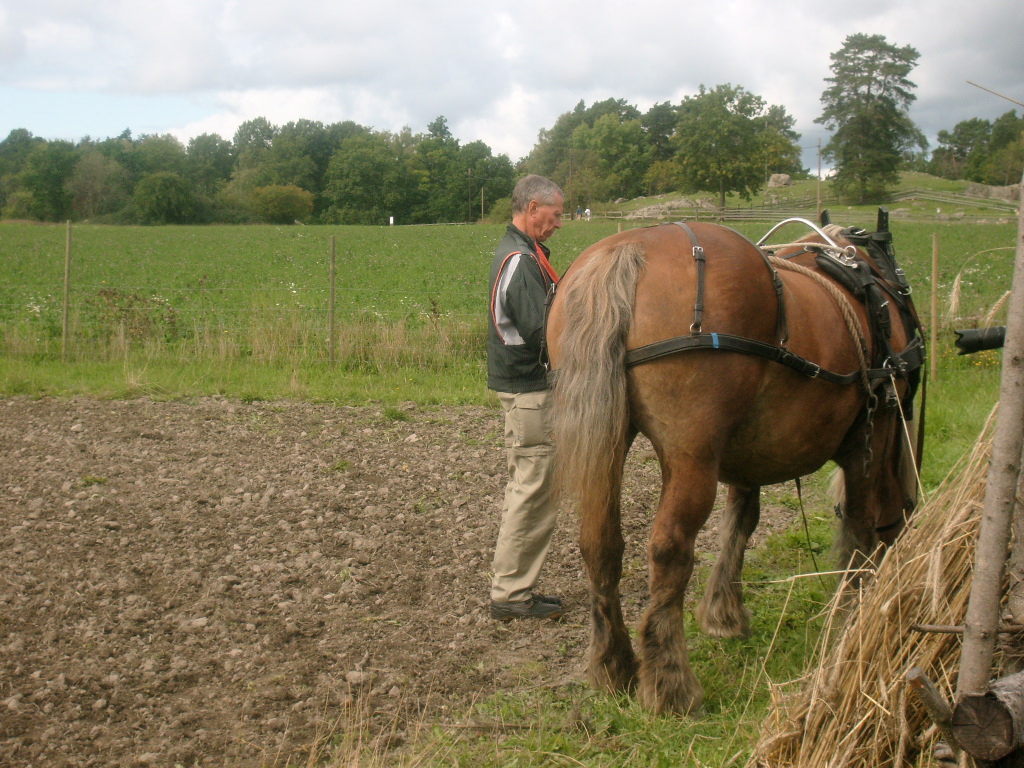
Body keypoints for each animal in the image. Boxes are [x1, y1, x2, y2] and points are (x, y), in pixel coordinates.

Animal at [548, 215, 925, 716]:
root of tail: (629, 248)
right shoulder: (875, 427)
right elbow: (860, 521)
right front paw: (852, 607)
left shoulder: (749, 455)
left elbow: (741, 522)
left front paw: (724, 613)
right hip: (693, 454)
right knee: (669, 548)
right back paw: (671, 685)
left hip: (610, 438)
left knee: (600, 544)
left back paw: (615, 666)